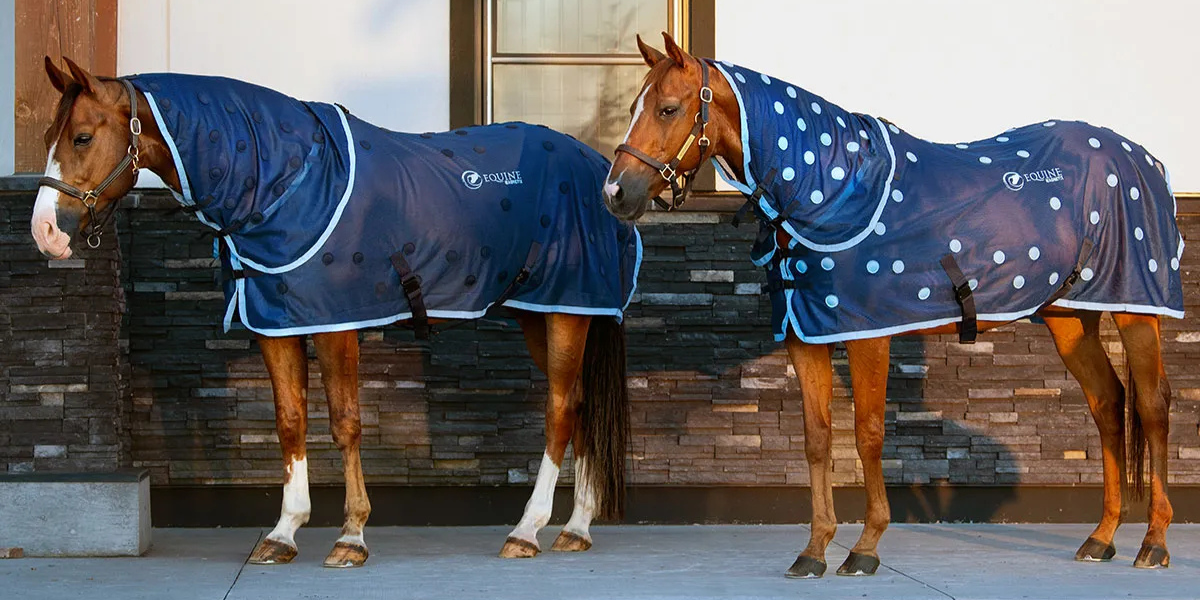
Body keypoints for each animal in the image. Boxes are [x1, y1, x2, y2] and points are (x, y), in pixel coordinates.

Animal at [31, 56, 640, 567]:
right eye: (47, 137)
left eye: (83, 137)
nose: (45, 233)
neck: (286, 184)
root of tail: (601, 170)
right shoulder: (279, 324)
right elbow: (290, 421)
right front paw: (283, 533)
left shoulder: (335, 325)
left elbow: (346, 423)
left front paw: (351, 536)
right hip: (543, 312)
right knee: (580, 407)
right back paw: (576, 529)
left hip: (566, 312)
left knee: (558, 413)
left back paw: (527, 530)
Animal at [603, 33, 1182, 576]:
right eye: (633, 105)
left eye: (668, 108)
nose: (615, 194)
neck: (829, 189)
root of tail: (1147, 159)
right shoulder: (804, 334)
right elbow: (817, 439)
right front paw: (814, 550)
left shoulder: (867, 334)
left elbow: (868, 436)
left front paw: (864, 547)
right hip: (1071, 318)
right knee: (1107, 403)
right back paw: (1101, 538)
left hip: (1137, 310)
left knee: (1152, 408)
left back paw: (1153, 543)